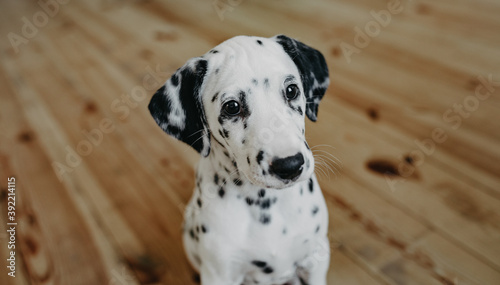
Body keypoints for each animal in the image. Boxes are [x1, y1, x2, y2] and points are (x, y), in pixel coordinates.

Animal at [148, 34, 332, 282]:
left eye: (292, 90)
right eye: (232, 107)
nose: (290, 165)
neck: (265, 203)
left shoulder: (316, 259)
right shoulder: (219, 274)